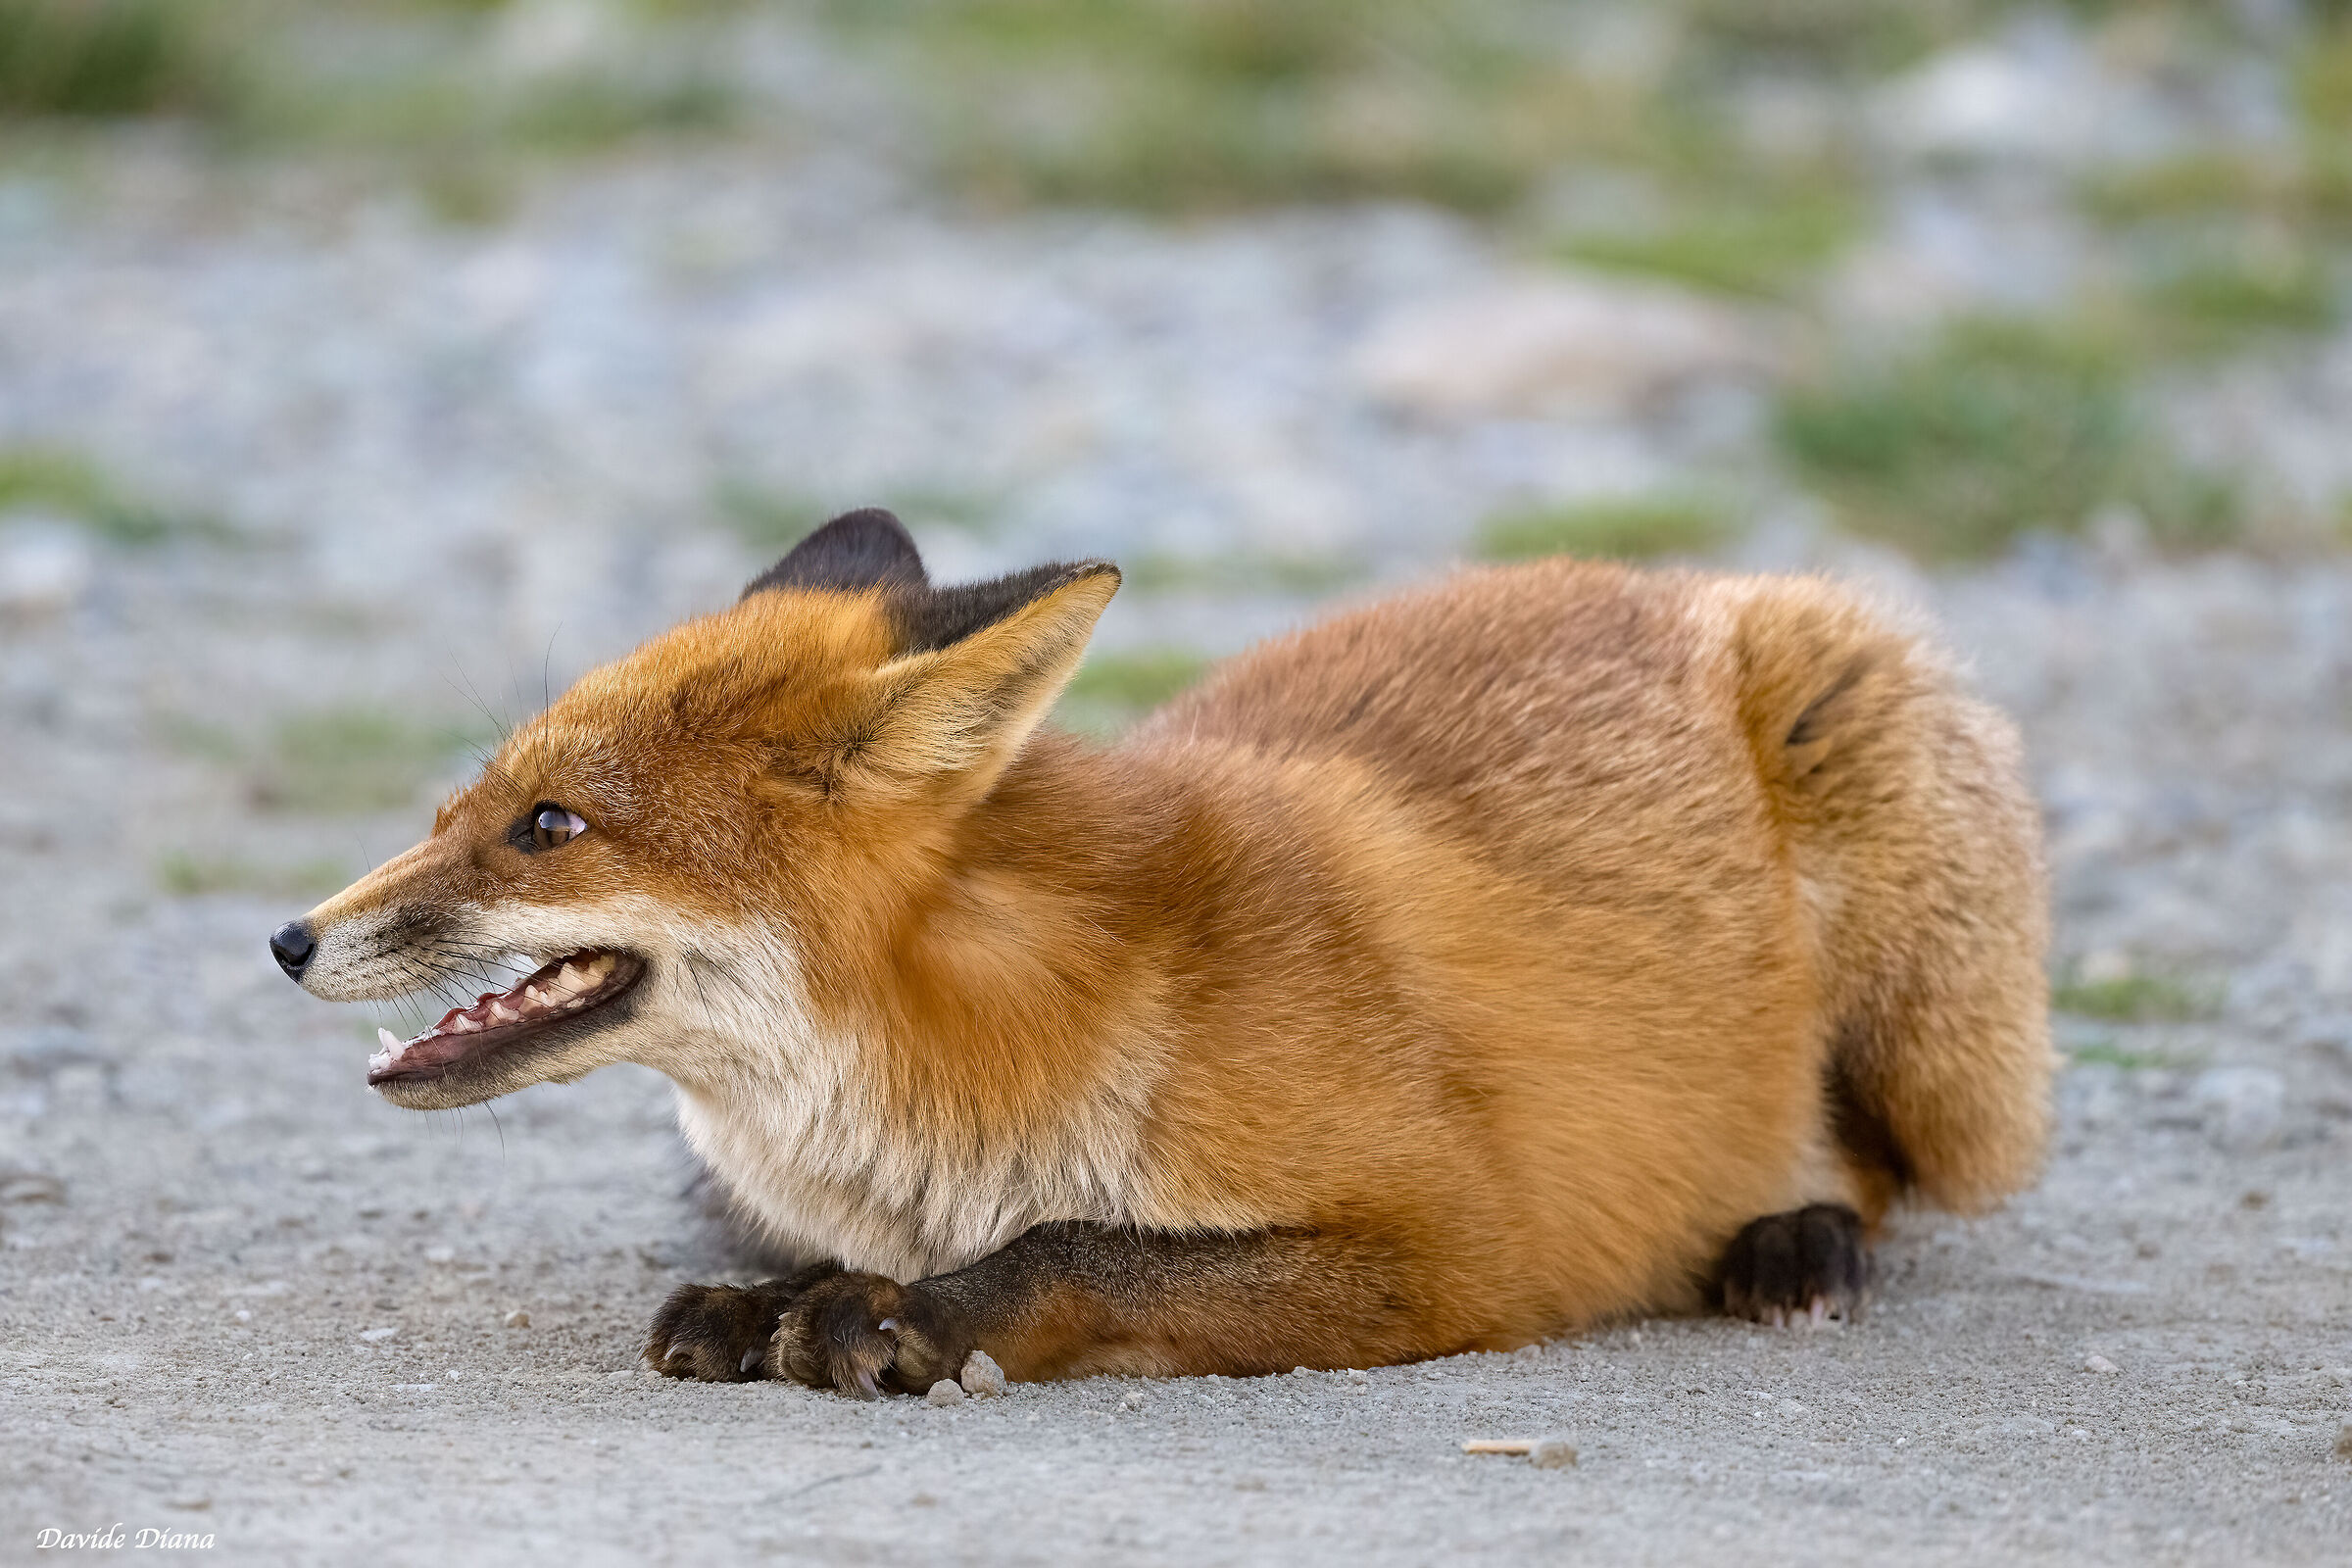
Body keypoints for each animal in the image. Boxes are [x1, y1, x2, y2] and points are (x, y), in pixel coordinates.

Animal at [268, 509, 2051, 1396]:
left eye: (550, 826)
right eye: (462, 804)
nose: (287, 938)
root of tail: (1652, 577)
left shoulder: (1455, 1243)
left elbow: (1084, 1250)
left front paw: (909, 1319)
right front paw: (791, 1292)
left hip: (1920, 999)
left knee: (1883, 1173)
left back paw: (1792, 1245)